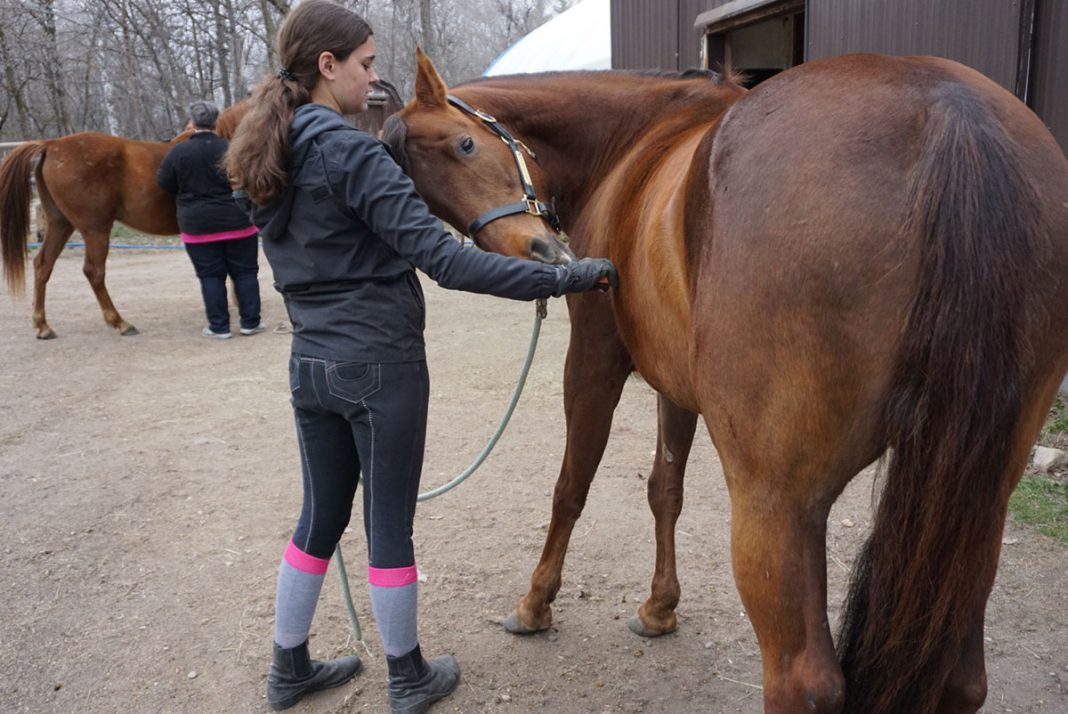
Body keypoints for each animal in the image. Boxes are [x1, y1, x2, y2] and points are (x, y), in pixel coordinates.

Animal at [0, 102, 249, 339]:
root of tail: (52, 144)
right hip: (96, 230)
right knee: (94, 271)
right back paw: (120, 322)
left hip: (60, 224)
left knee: (43, 265)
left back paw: (42, 326)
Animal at [382, 49, 1068, 713]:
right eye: (428, 201)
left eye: (465, 145)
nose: (541, 255)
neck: (633, 142)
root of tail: (950, 117)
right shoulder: (674, 384)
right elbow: (665, 490)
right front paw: (660, 608)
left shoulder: (594, 363)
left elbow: (570, 488)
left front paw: (535, 604)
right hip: (977, 501)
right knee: (962, 681)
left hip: (778, 502)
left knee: (803, 682)